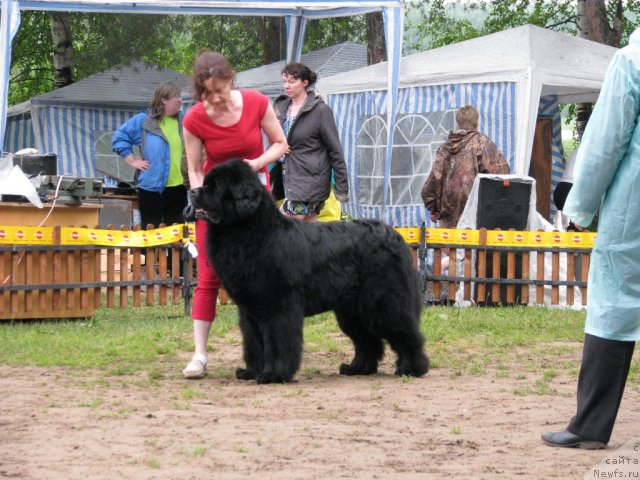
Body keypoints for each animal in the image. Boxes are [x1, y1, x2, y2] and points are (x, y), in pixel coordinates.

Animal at [190, 159, 430, 384]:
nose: (192, 191)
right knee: (367, 341)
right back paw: (357, 368)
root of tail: (395, 235)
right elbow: (253, 343)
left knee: (405, 332)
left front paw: (274, 374)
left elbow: (277, 342)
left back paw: (412, 368)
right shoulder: (249, 311)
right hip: (351, 310)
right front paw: (251, 371)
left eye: (215, 186)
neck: (253, 233)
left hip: (383, 303)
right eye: (206, 183)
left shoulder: (279, 307)